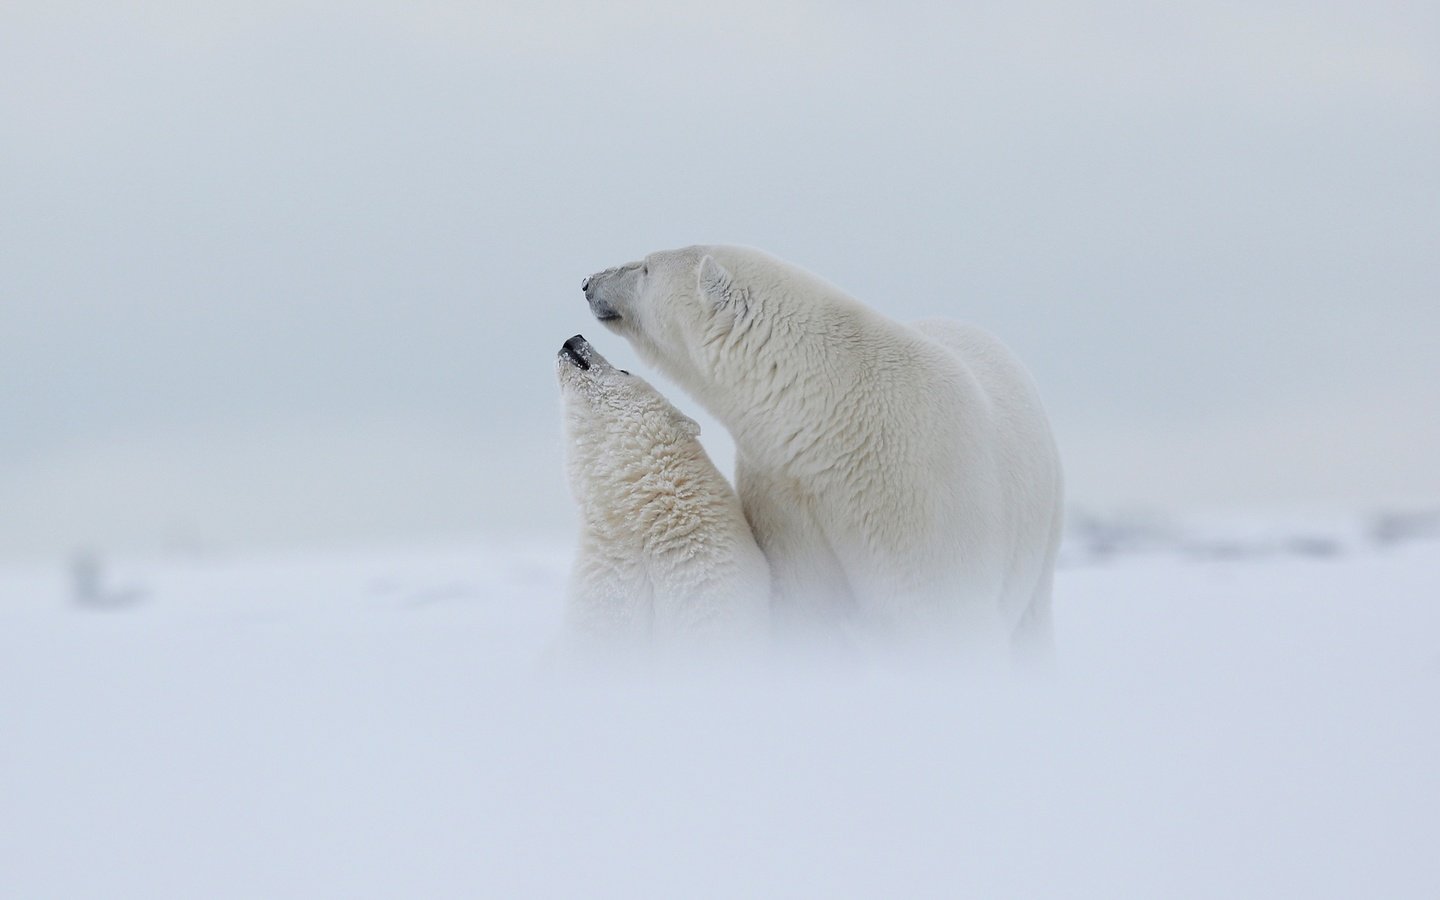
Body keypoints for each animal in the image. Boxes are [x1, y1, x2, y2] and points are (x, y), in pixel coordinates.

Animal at [578, 241, 1065, 656]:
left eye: (645, 267)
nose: (587, 281)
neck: (834, 424)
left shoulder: (924, 493)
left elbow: (941, 612)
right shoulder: (787, 495)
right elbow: (811, 609)